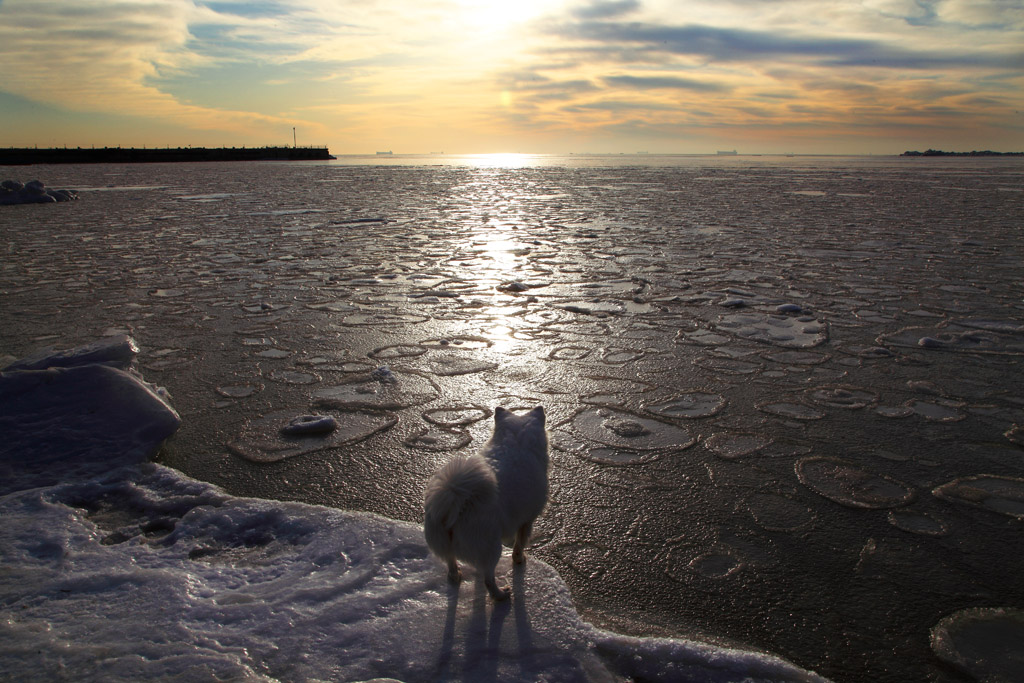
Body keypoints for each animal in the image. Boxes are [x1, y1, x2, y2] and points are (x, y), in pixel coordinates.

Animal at [421, 405, 548, 598]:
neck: (516, 442)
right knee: (488, 578)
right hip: (491, 547)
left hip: (446, 543)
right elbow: (519, 544)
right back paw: (501, 595)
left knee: (451, 562)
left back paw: (455, 576)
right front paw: (519, 560)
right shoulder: (527, 520)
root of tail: (455, 501)